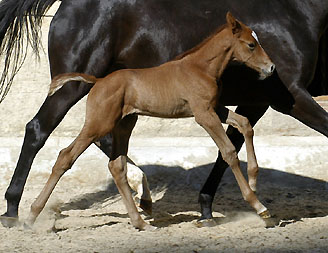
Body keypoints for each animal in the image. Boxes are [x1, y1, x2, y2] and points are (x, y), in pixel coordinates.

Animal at [0, 0, 328, 225]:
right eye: (250, 44)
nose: (270, 68)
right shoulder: (280, 98)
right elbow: (229, 150)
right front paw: (256, 205)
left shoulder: (226, 107)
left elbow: (239, 133)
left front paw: (227, 199)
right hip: (75, 95)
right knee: (44, 134)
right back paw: (18, 210)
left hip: (118, 117)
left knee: (109, 156)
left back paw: (141, 202)